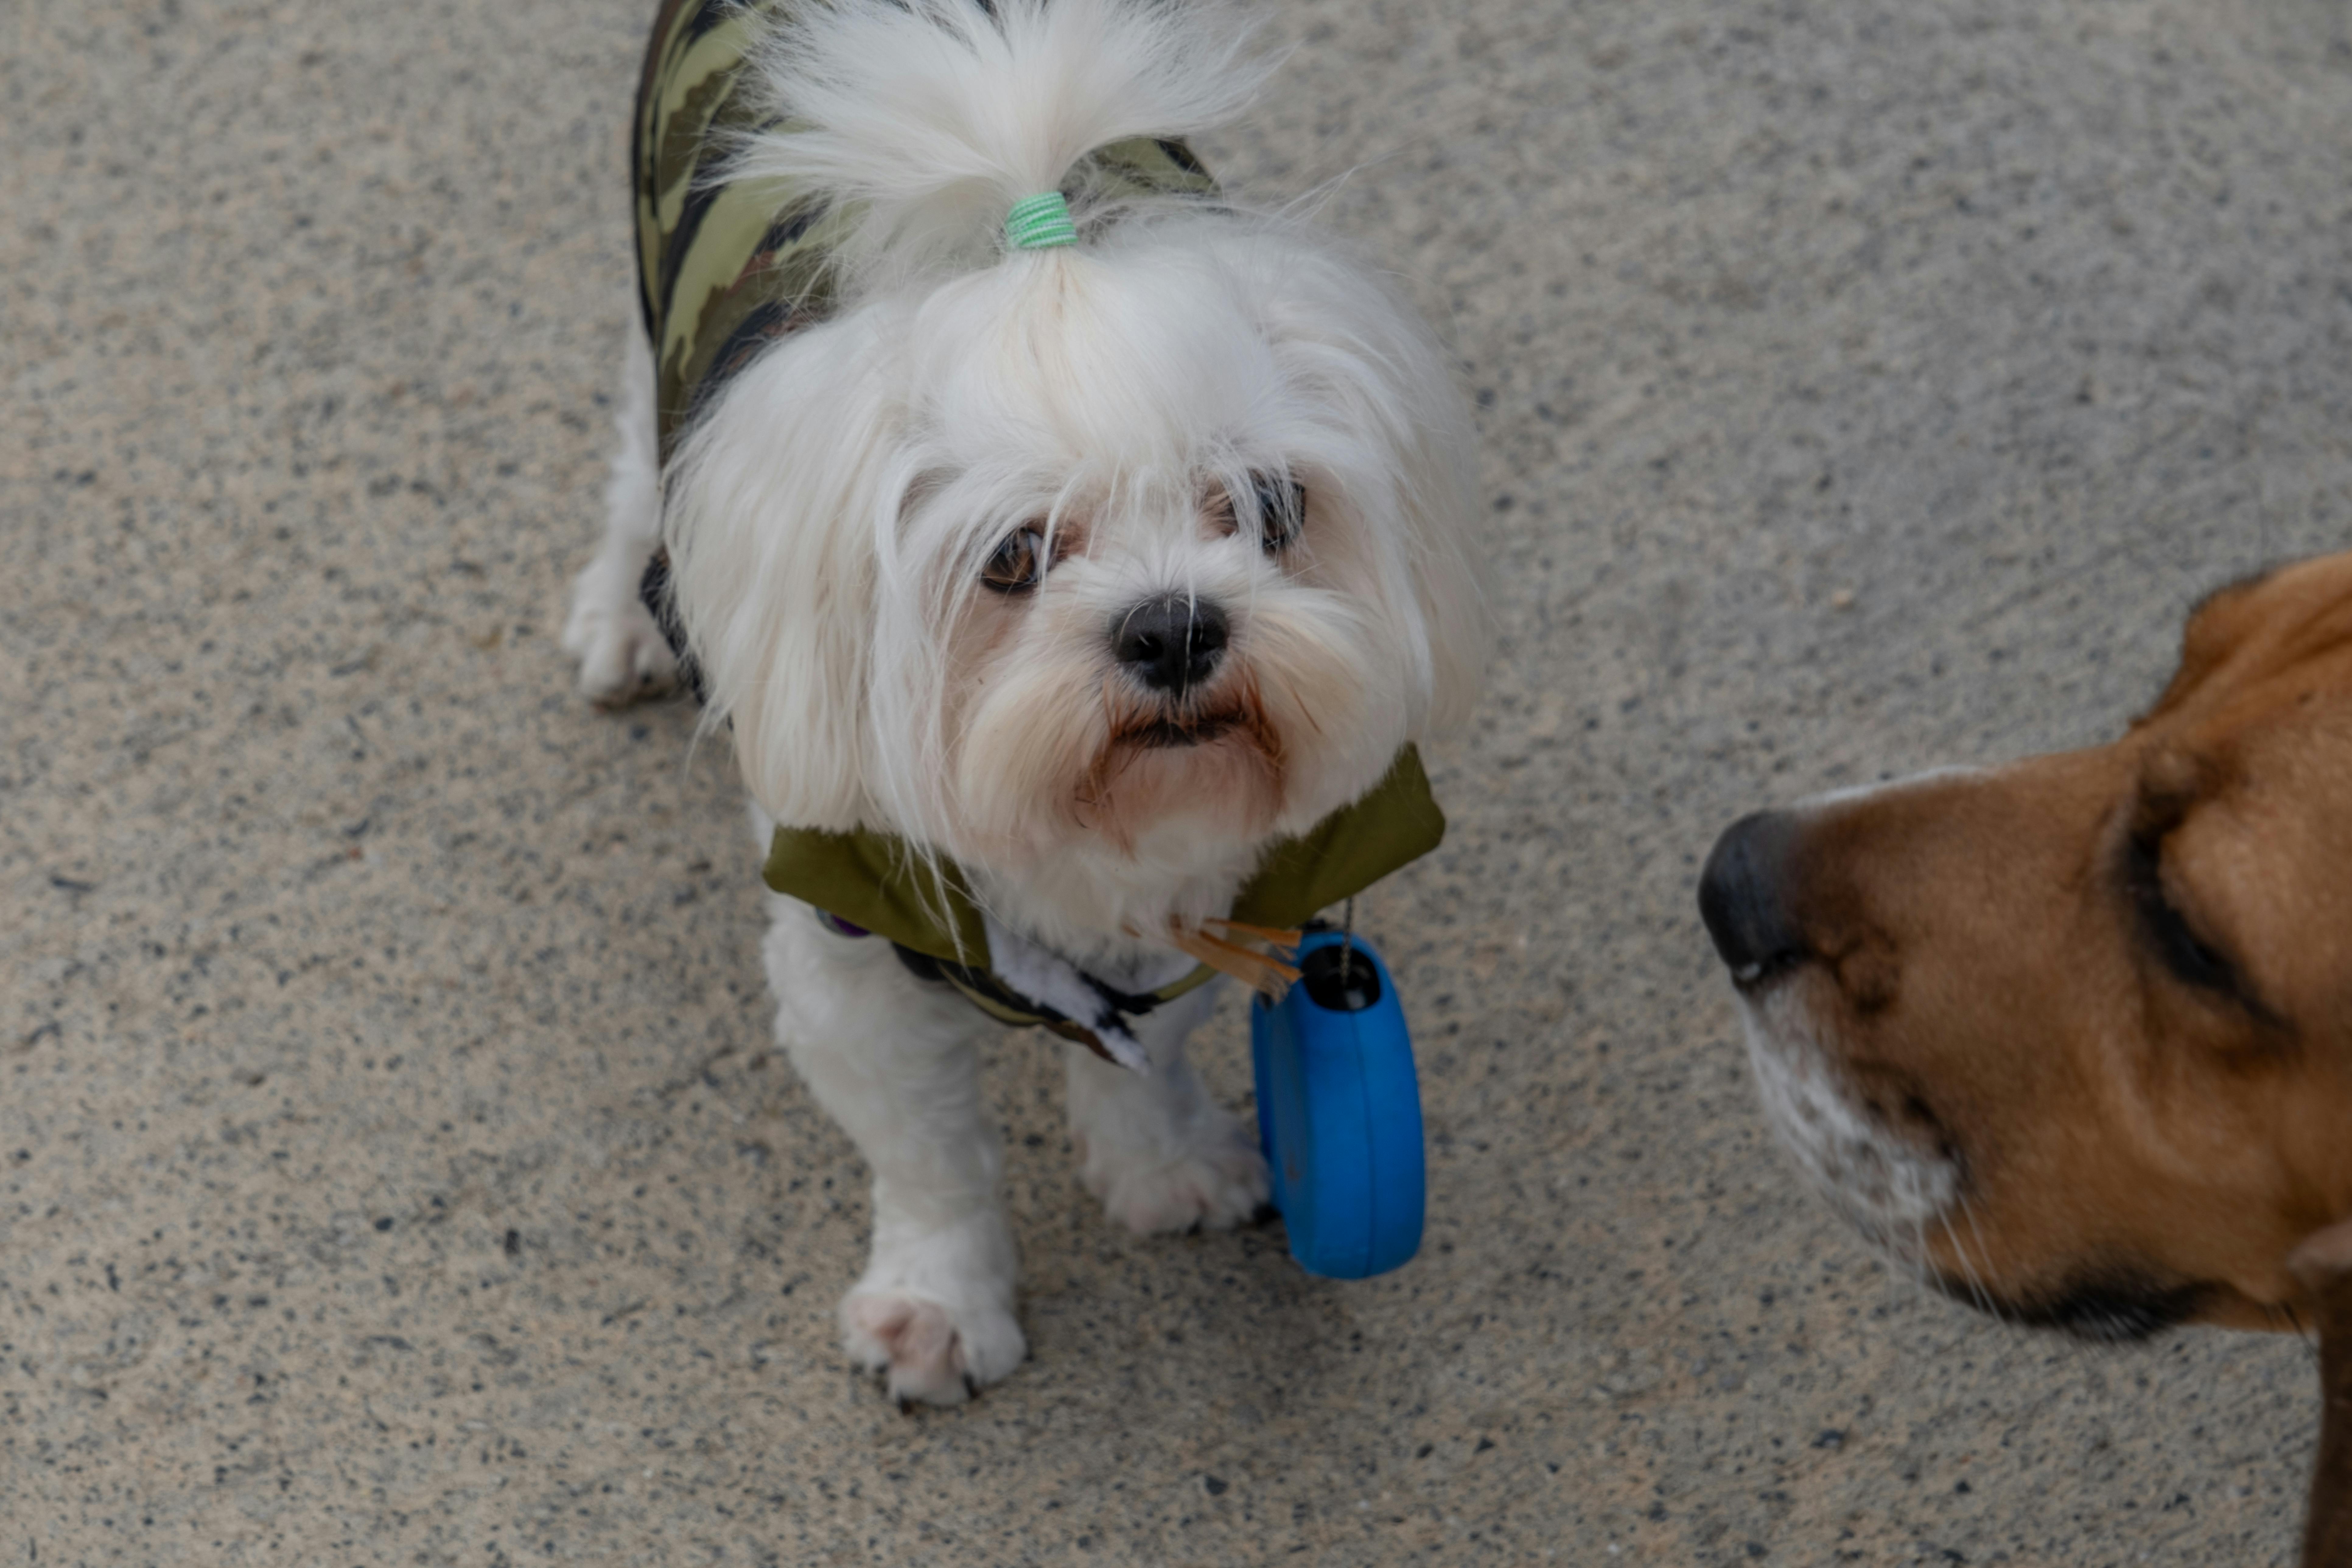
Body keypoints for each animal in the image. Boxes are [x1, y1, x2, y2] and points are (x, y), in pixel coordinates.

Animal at [564, 0, 1486, 1401]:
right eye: (1012, 556)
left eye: (1267, 506)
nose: (1173, 626)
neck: (1076, 839)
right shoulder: (850, 953)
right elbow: (928, 1147)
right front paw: (939, 1305)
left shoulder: (1201, 891)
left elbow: (1153, 1041)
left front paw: (1164, 1162)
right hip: (647, 291)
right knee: (636, 463)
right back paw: (629, 613)